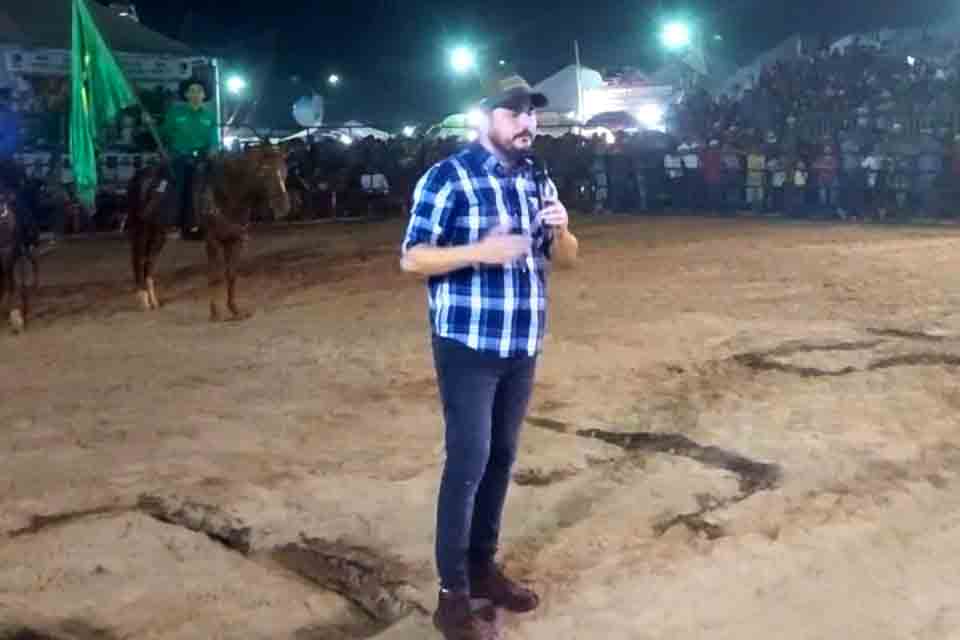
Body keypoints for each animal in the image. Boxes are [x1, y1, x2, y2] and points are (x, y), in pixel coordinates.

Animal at [128, 145, 292, 320]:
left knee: (150, 262)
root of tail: (139, 177)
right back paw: (143, 301)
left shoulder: (235, 240)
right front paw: (215, 313)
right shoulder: (212, 241)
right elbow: (215, 277)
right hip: (141, 230)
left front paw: (235, 310)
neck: (225, 193)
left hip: (159, 232)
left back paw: (153, 302)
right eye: (264, 171)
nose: (283, 207)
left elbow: (231, 275)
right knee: (139, 260)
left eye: (284, 170)